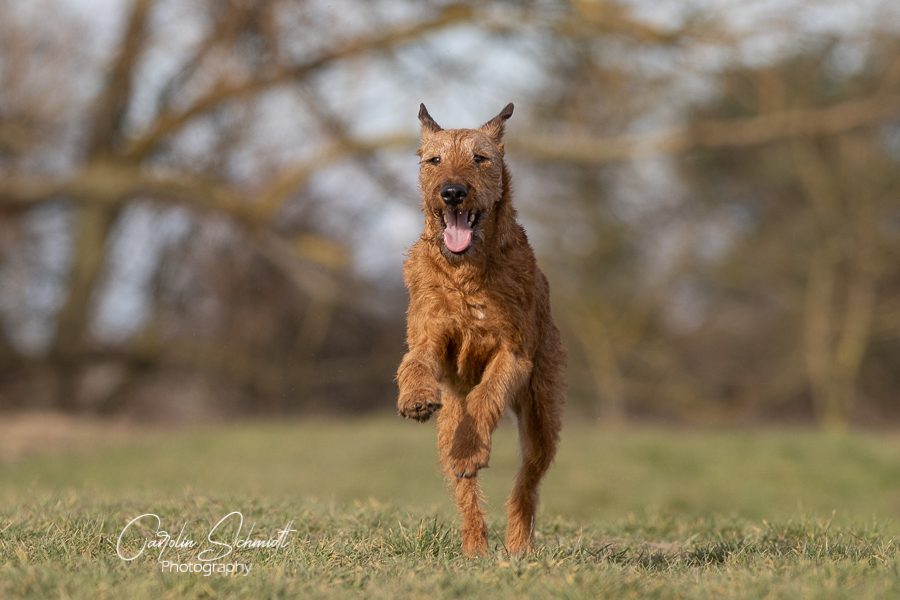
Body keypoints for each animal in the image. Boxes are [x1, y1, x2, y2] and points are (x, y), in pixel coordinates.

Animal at [397, 103, 566, 555]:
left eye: (480, 158)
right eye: (434, 160)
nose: (453, 192)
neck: (466, 274)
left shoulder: (514, 354)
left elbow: (487, 394)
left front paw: (472, 451)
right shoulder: (430, 335)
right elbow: (414, 362)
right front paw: (415, 397)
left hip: (542, 416)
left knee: (527, 481)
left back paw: (518, 543)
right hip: (447, 426)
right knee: (464, 487)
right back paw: (474, 546)